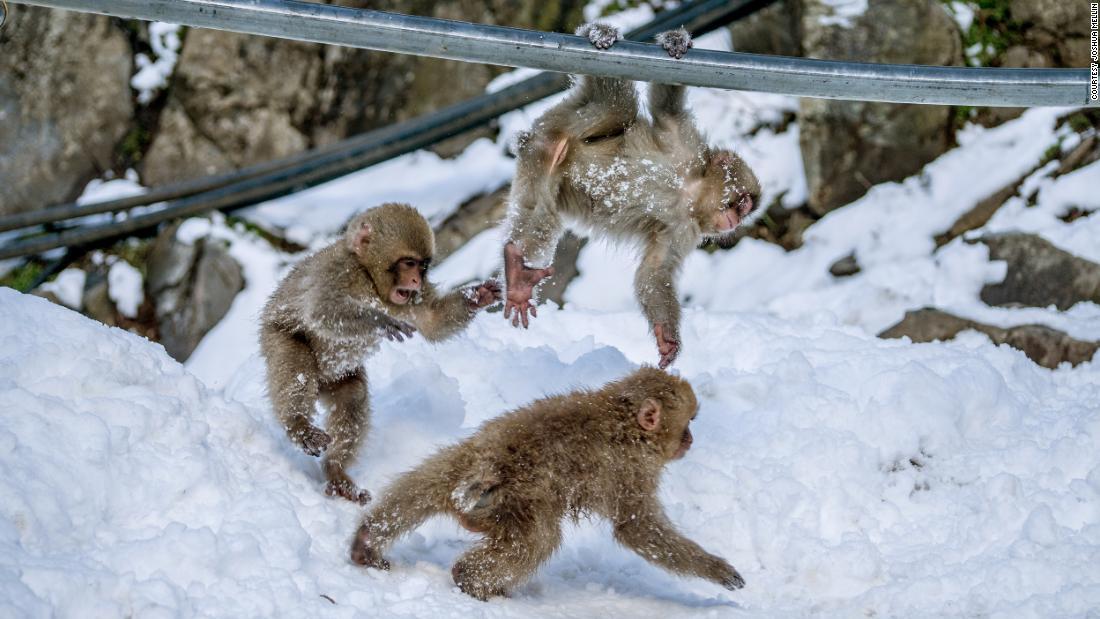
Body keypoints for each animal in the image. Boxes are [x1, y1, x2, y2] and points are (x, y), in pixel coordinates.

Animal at [259, 203, 501, 503]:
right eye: (408, 263)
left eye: (423, 266)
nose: (415, 280)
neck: (371, 281)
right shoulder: (339, 270)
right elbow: (321, 309)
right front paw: (379, 320)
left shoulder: (413, 297)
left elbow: (432, 321)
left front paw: (480, 296)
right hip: (277, 336)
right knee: (297, 370)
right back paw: (298, 425)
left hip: (336, 377)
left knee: (353, 396)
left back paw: (335, 470)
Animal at [352, 367, 748, 602]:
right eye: (688, 423)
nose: (690, 440)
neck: (624, 421)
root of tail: (487, 465)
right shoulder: (631, 470)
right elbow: (638, 529)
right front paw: (717, 570)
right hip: (517, 501)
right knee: (537, 541)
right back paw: (470, 580)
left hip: (461, 463)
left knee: (422, 485)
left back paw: (367, 541)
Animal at [503, 24, 761, 371]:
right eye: (743, 203)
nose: (735, 222)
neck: (690, 195)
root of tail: (537, 139)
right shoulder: (687, 146)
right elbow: (667, 106)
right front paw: (676, 41)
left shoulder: (685, 229)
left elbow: (654, 271)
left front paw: (667, 337)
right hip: (561, 121)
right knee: (617, 104)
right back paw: (599, 34)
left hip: (540, 168)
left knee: (539, 216)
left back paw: (517, 275)